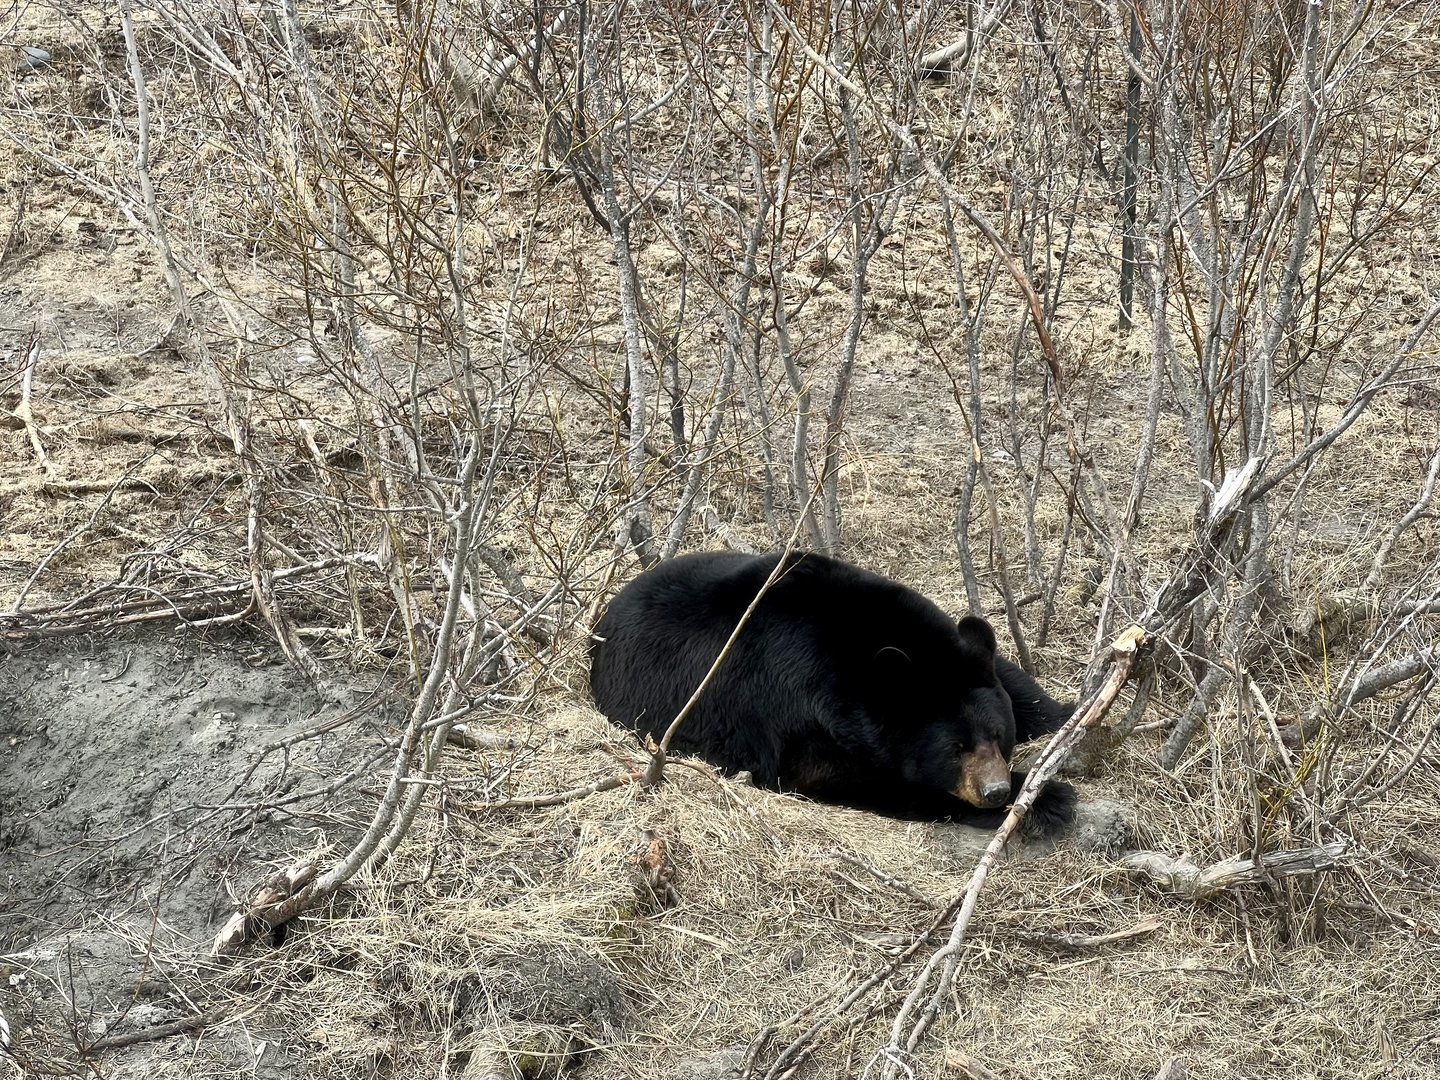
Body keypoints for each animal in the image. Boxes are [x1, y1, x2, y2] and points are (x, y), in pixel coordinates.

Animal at [588, 550, 1077, 837]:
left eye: (997, 735)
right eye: (955, 749)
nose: (994, 790)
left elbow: (1012, 680)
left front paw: (1068, 716)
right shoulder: (791, 707)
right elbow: (859, 779)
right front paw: (1047, 798)